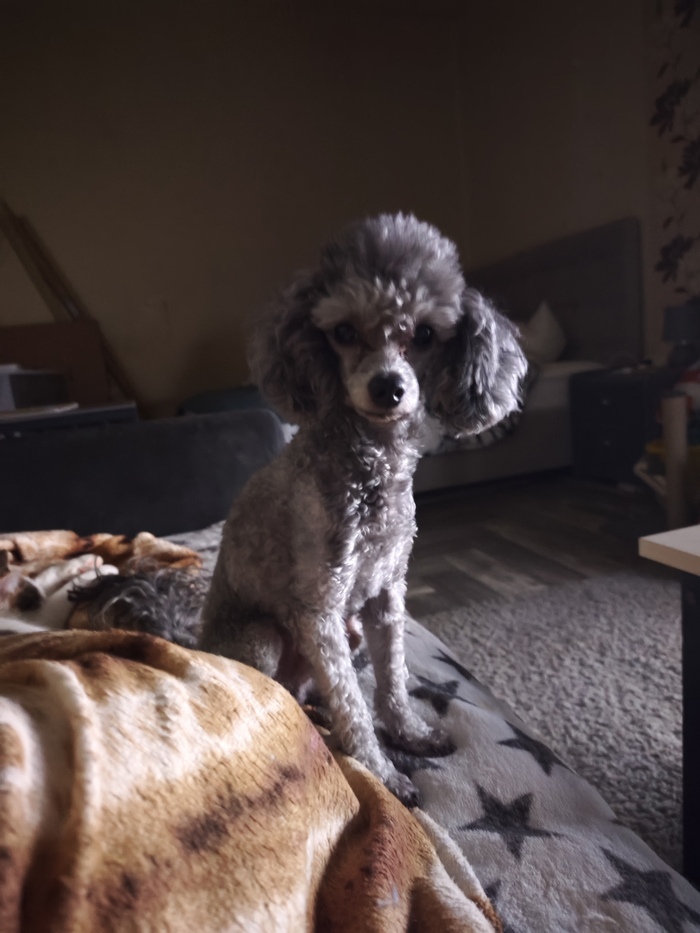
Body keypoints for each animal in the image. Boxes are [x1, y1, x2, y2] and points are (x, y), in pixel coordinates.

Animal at [199, 213, 527, 804]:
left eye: (426, 334)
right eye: (344, 332)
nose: (388, 387)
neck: (372, 467)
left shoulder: (384, 596)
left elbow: (392, 678)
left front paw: (409, 733)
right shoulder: (321, 610)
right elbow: (353, 706)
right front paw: (381, 772)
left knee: (314, 688)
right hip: (263, 638)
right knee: (285, 692)